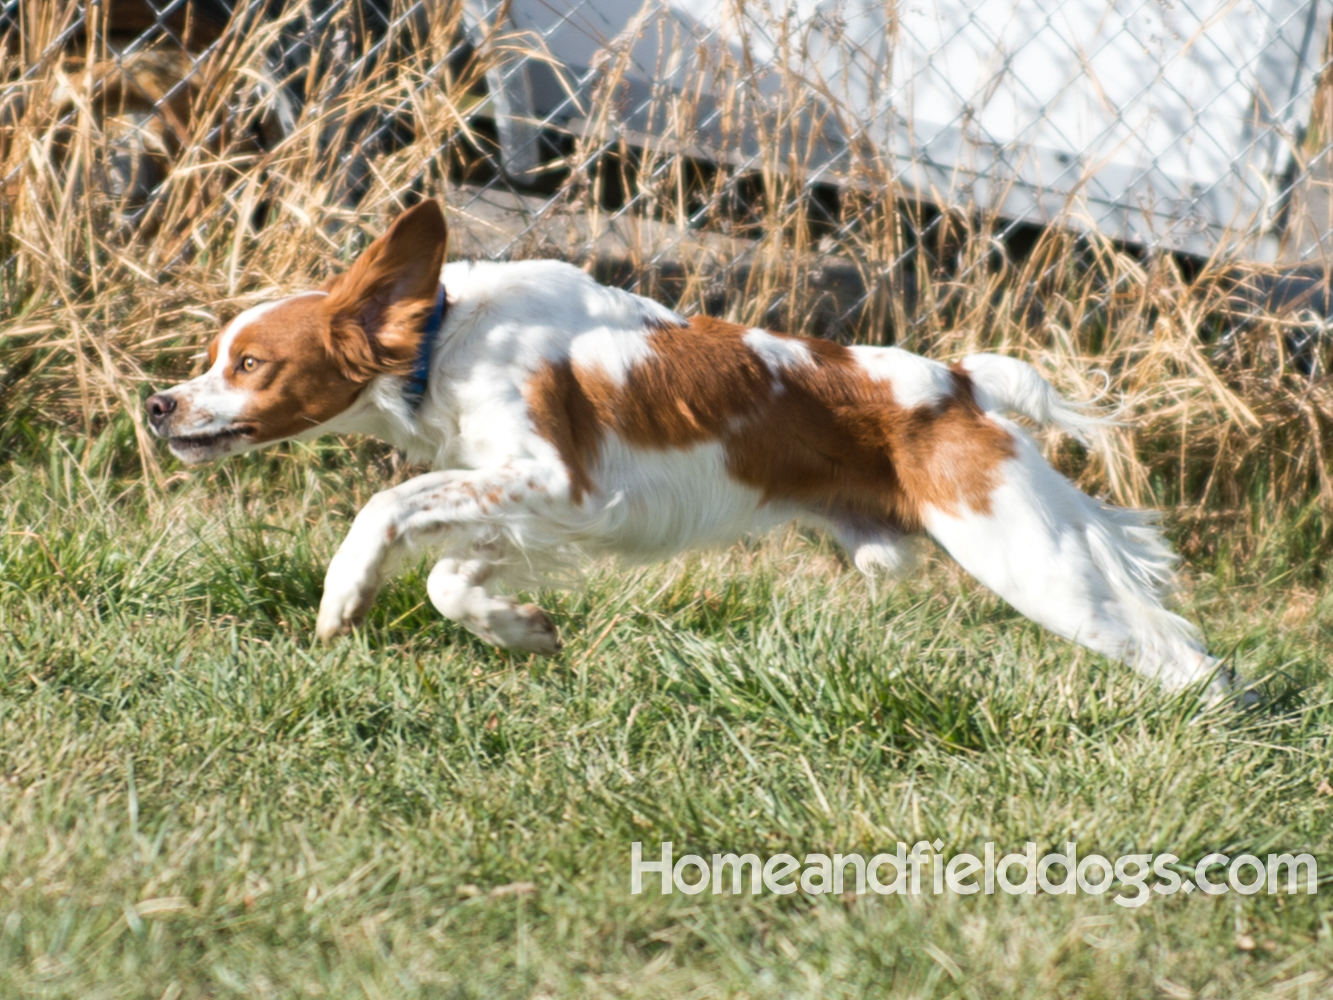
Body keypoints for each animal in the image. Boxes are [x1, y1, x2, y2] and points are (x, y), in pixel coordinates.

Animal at [145, 201, 1226, 698]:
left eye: (249, 362)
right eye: (214, 357)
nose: (157, 405)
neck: (449, 341)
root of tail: (959, 384)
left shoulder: (560, 483)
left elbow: (388, 507)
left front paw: (342, 596)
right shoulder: (533, 500)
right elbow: (453, 575)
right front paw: (521, 628)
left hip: (1030, 561)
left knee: (1190, 662)